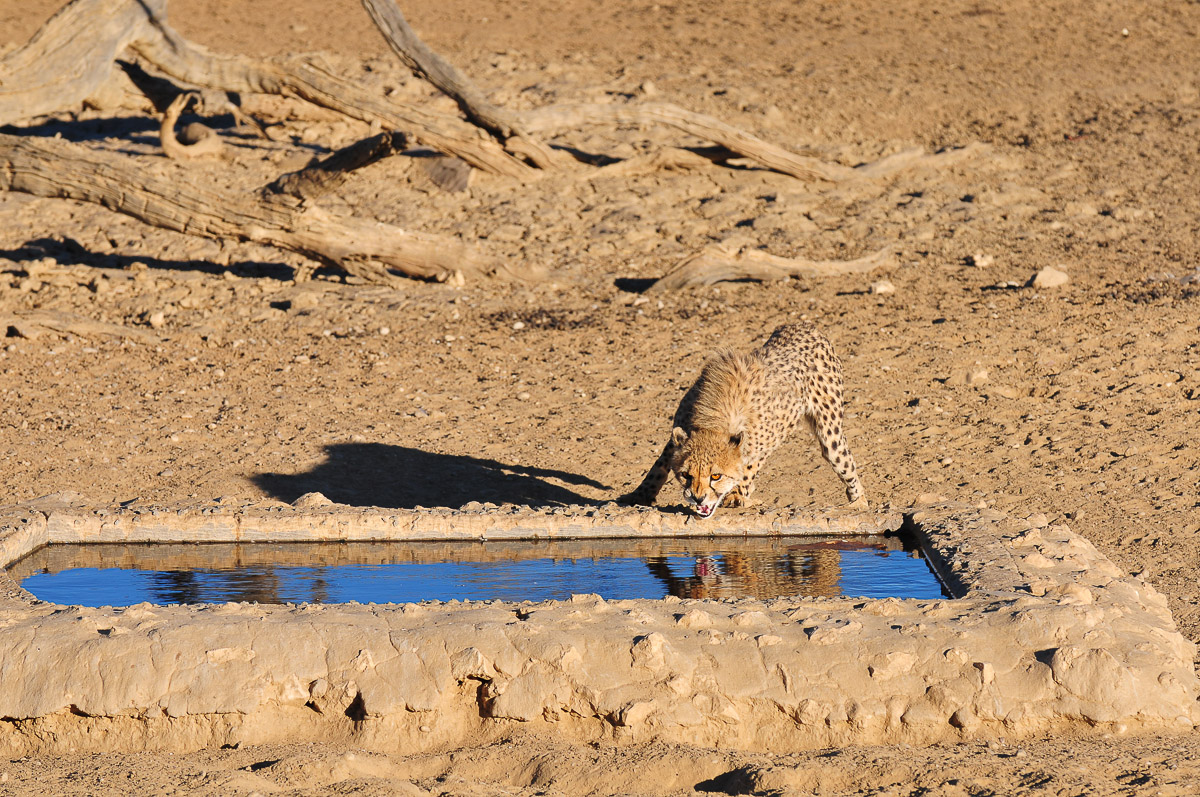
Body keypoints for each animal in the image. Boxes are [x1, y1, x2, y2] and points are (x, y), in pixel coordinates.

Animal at [619, 322, 866, 518]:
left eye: (715, 476)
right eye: (686, 475)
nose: (698, 499)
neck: (712, 422)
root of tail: (804, 325)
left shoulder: (764, 440)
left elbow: (748, 467)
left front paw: (736, 494)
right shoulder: (677, 436)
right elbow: (658, 466)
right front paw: (640, 494)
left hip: (830, 433)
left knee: (845, 464)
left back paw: (859, 502)